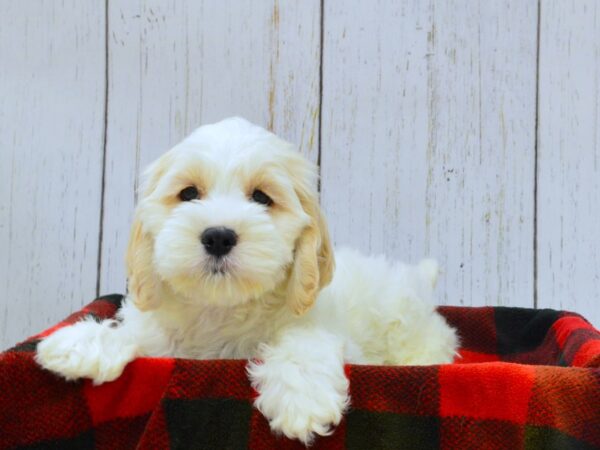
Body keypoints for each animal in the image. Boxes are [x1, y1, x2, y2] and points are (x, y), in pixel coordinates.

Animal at [36, 118, 460, 444]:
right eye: (188, 193)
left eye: (261, 197)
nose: (218, 236)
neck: (221, 308)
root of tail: (416, 276)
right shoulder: (162, 336)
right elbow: (136, 334)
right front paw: (80, 343)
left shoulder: (328, 332)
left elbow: (305, 342)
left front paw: (302, 397)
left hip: (411, 327)